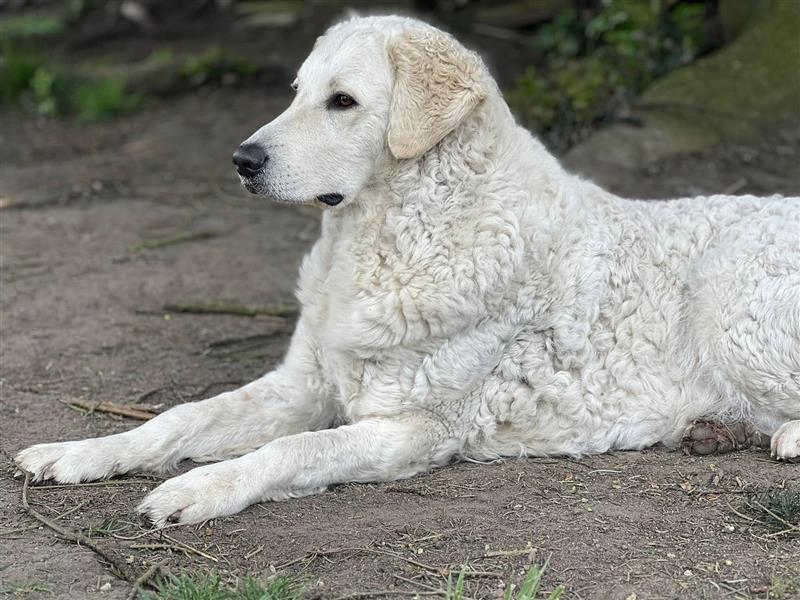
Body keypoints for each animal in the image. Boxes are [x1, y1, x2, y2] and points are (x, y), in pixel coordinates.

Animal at [14, 16, 800, 528]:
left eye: (342, 101)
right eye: (296, 92)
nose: (242, 160)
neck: (380, 240)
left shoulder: (415, 426)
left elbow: (292, 449)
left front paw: (199, 491)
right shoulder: (302, 384)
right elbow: (179, 417)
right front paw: (83, 452)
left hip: (726, 300)